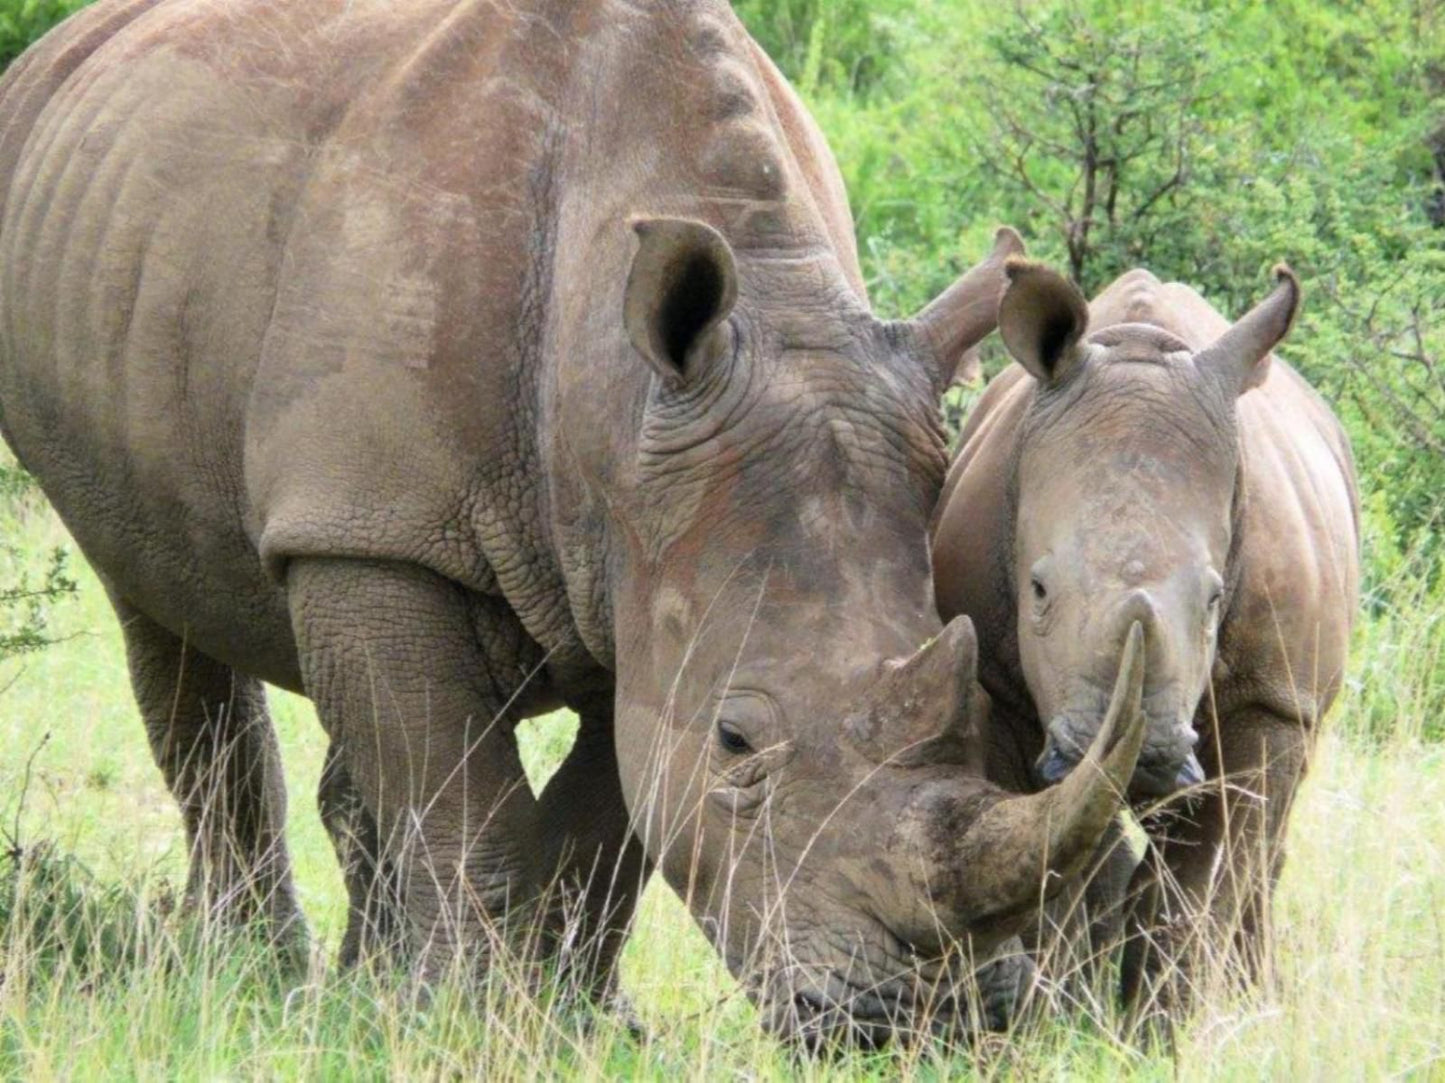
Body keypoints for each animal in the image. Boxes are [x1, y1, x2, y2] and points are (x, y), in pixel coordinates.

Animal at [2, 2, 1150, 1046]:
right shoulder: (372, 526)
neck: (614, 396)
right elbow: (460, 800)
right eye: (738, 740)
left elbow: (611, 811)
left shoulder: (644, 565)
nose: (927, 1022)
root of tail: (61, 50)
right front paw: (461, 1019)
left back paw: (357, 985)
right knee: (157, 602)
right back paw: (262, 978)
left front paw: (574, 1018)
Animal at [930, 257, 1358, 1012]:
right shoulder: (1000, 691)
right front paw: (1061, 1013)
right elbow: (1049, 856)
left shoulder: (1272, 697)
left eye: (1214, 598)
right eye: (1037, 589)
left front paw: (1165, 1022)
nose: (1145, 755)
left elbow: (1206, 879)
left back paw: (1255, 996)